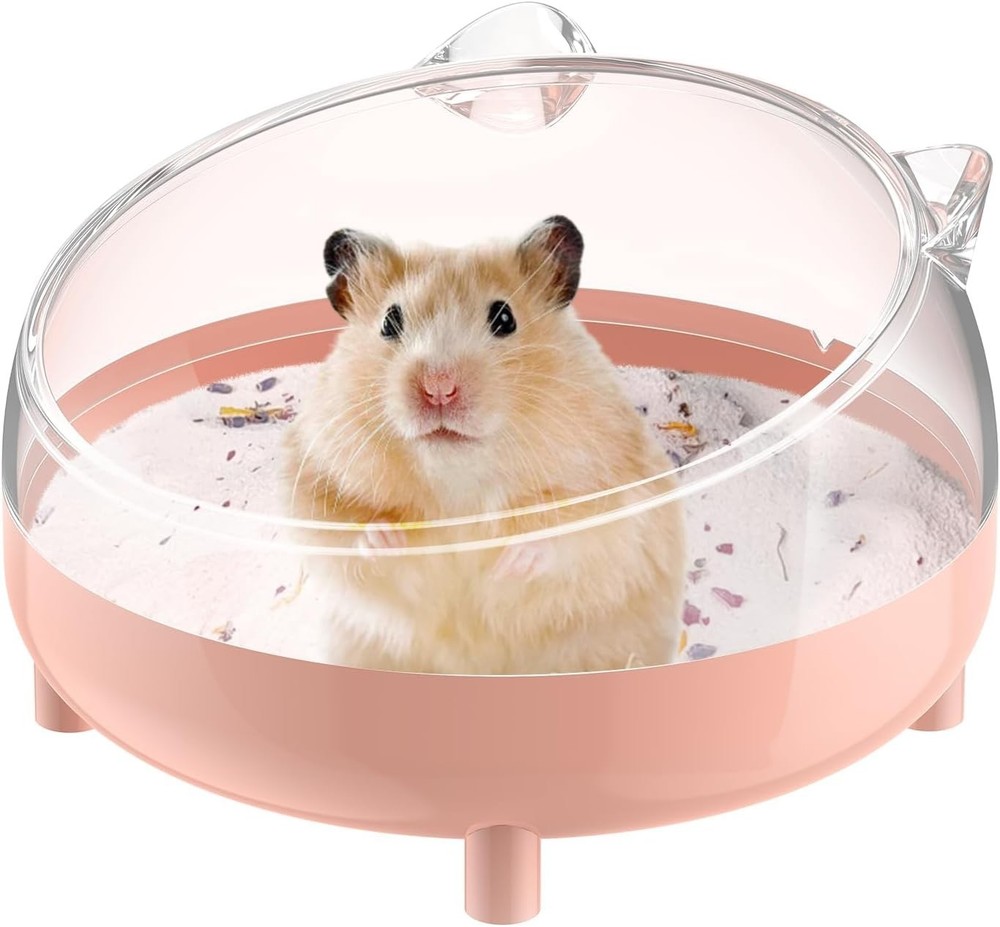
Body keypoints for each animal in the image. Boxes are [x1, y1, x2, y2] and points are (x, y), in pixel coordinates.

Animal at [283, 216, 685, 674]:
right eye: (389, 321)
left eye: (505, 318)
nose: (438, 388)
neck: (459, 482)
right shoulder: (312, 482)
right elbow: (340, 534)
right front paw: (388, 539)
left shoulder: (620, 500)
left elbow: (579, 536)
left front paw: (511, 559)